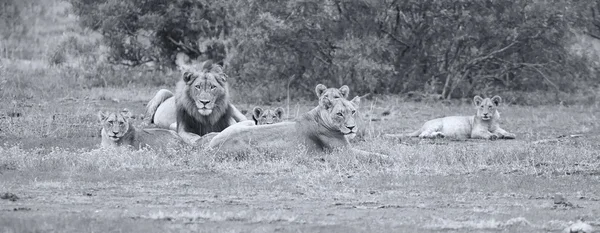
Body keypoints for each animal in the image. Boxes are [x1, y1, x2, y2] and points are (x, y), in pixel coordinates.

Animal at [209, 83, 382, 157]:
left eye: (353, 111)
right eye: (339, 114)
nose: (352, 128)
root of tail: (211, 146)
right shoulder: (345, 152)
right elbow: (376, 156)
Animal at [386, 95, 516, 139]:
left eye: (490, 107)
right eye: (482, 106)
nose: (485, 114)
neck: (490, 120)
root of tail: (422, 125)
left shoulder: (496, 127)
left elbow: (502, 130)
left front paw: (509, 134)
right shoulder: (476, 131)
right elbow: (486, 133)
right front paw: (493, 136)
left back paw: (440, 135)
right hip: (436, 124)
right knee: (423, 135)